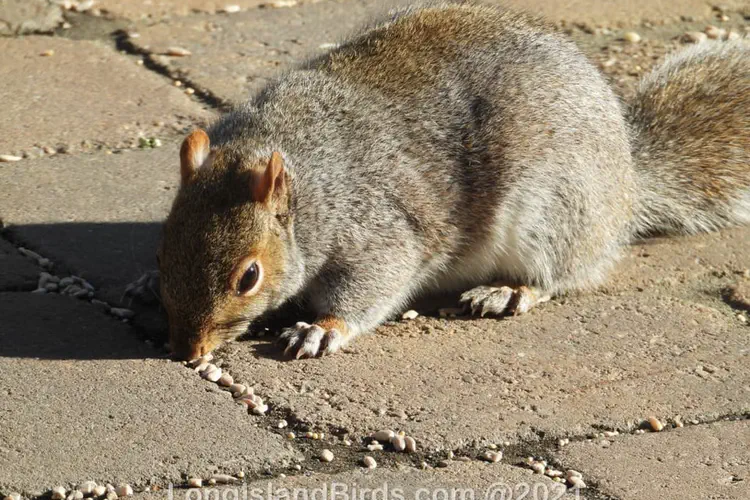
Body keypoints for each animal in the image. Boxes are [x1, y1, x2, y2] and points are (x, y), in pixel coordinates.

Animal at [157, 2, 750, 361]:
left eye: (249, 277)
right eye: (165, 250)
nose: (187, 351)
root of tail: (626, 180)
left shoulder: (379, 231)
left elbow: (372, 285)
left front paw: (322, 327)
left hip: (553, 210)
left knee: (561, 274)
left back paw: (508, 292)